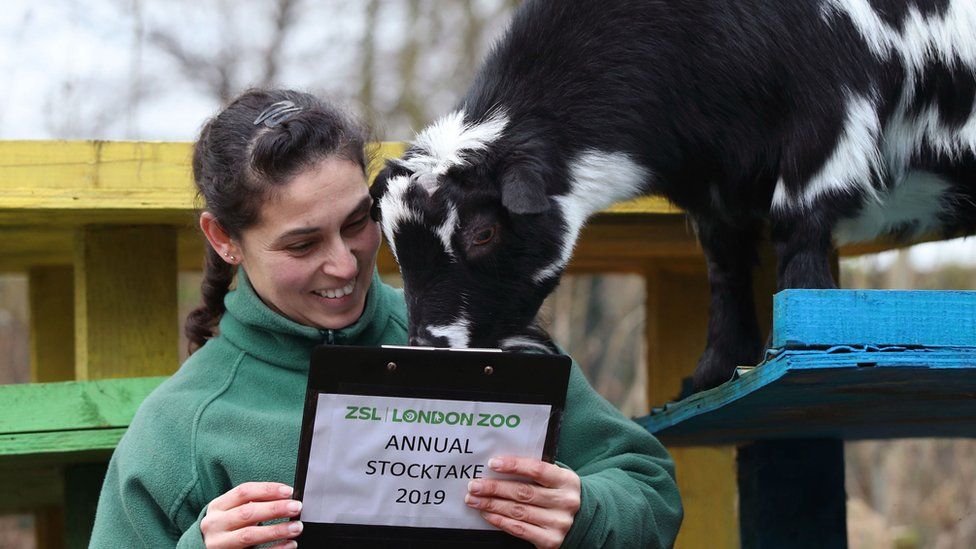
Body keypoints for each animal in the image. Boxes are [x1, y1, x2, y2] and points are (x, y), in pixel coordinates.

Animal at [372, 0, 976, 390]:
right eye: (395, 245)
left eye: (484, 231)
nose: (428, 346)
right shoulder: (715, 184)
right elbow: (724, 267)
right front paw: (712, 371)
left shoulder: (830, 116)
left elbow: (799, 223)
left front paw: (801, 335)